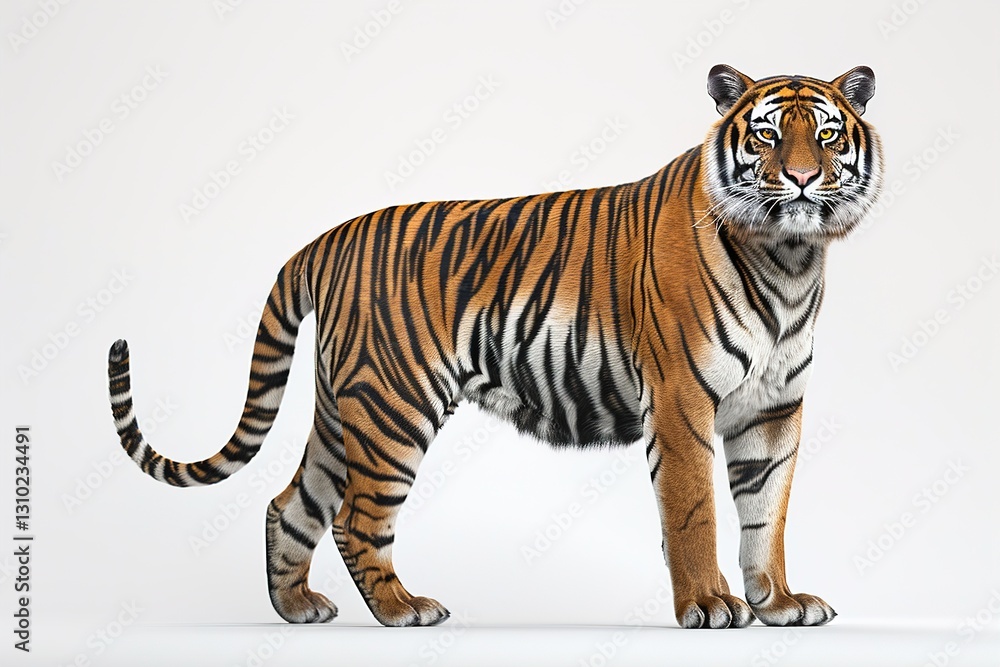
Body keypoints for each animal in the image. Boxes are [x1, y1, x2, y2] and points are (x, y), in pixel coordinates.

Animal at [107, 64, 882, 629]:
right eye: (767, 136)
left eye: (827, 135)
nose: (804, 178)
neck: (789, 260)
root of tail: (328, 238)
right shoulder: (681, 399)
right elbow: (695, 511)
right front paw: (711, 605)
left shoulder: (773, 410)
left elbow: (766, 513)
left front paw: (779, 603)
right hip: (394, 405)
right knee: (358, 519)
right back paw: (403, 609)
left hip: (343, 406)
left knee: (290, 504)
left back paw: (297, 608)